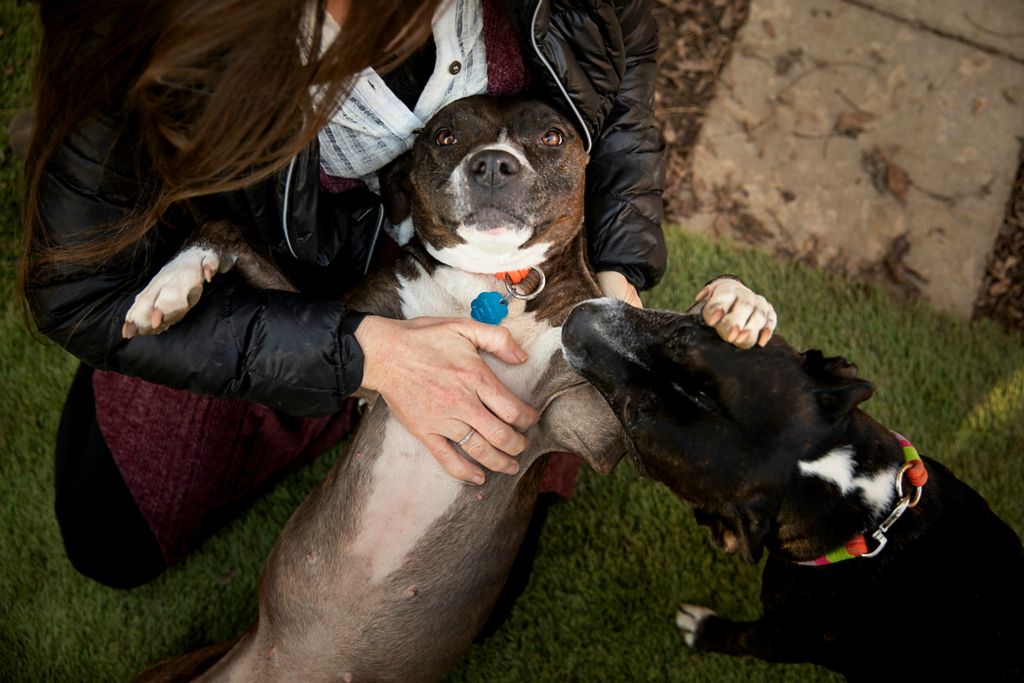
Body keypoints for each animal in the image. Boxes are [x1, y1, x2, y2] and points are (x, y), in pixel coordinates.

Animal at [561, 301, 1024, 683]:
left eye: (635, 418)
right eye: (684, 335)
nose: (573, 319)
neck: (866, 517)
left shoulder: (778, 638)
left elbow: (739, 638)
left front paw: (702, 629)